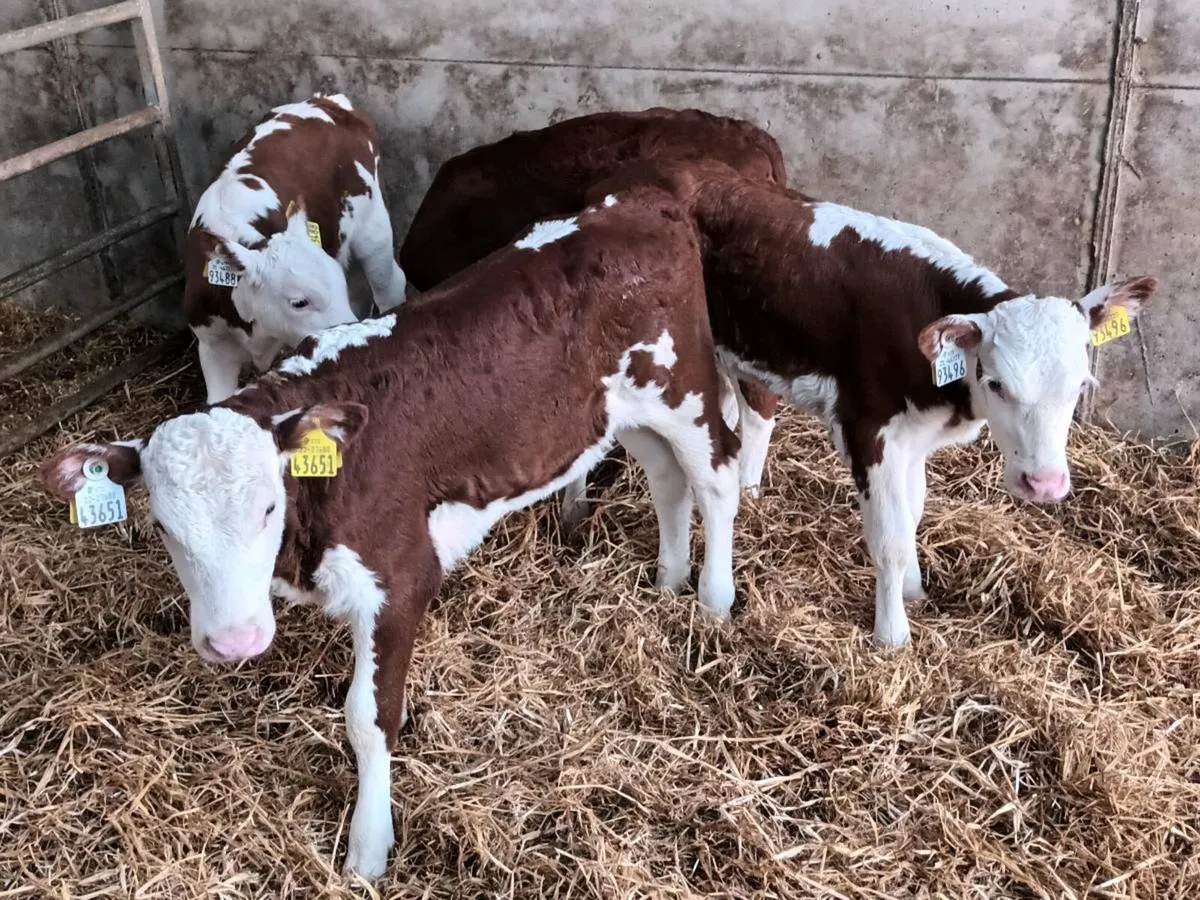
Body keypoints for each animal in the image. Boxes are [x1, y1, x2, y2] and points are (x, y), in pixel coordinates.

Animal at [40, 184, 741, 878]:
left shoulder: (402, 576)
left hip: (685, 385)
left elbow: (368, 717)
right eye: (162, 525)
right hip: (625, 413)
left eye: (267, 507)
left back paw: (714, 600)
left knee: (717, 475)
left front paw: (368, 847)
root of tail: (644, 202)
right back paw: (669, 581)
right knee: (667, 479)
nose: (234, 642)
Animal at [591, 160, 1159, 648]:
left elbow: (912, 515)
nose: (1044, 484)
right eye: (997, 383)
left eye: (1080, 385)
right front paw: (892, 636)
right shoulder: (869, 429)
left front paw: (915, 591)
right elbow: (888, 539)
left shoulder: (915, 435)